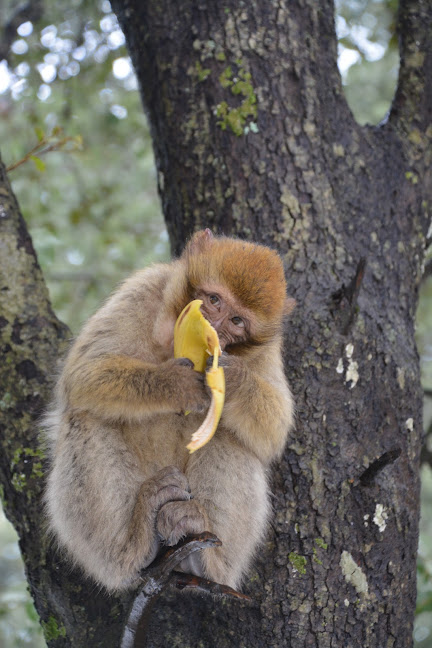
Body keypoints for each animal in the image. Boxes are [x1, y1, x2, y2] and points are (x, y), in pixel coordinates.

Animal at [44, 229, 296, 592]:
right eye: (214, 300)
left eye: (236, 320)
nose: (214, 327)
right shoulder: (145, 288)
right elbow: (84, 373)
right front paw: (176, 384)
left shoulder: (266, 350)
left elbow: (274, 431)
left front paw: (230, 377)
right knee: (86, 417)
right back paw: (130, 547)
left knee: (232, 438)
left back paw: (206, 557)